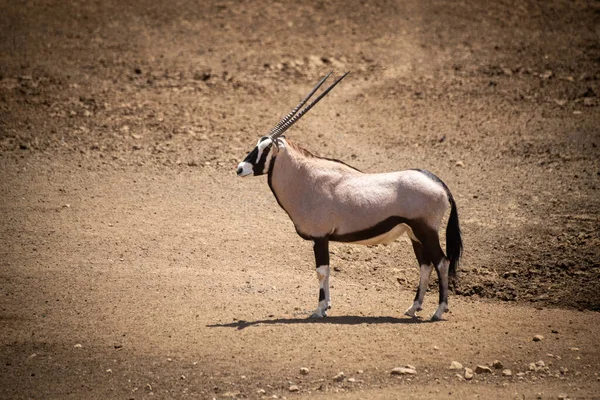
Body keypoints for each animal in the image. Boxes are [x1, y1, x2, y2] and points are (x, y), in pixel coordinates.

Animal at [237, 72, 462, 322]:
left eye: (266, 148)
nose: (240, 168)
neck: (306, 178)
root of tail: (441, 185)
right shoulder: (322, 238)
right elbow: (325, 272)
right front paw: (326, 306)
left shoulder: (320, 237)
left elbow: (321, 271)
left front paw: (319, 309)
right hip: (414, 234)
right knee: (425, 265)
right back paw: (414, 308)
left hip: (426, 231)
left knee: (441, 262)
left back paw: (438, 311)